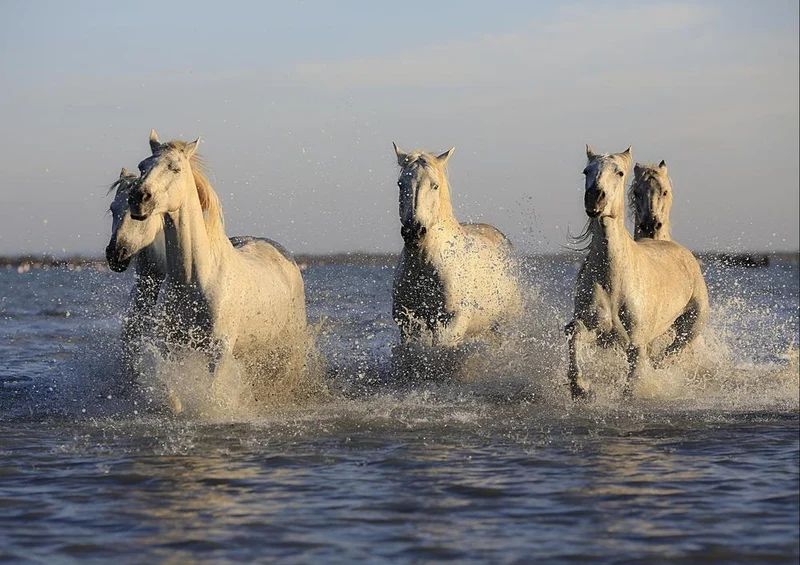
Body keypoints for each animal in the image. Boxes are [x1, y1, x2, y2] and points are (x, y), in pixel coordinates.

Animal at [125, 130, 307, 383]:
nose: (138, 198)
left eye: (175, 168)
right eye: (142, 166)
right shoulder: (172, 347)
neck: (193, 279)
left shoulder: (218, 352)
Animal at [391, 143, 521, 350]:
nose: (414, 232)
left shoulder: (450, 323)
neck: (424, 265)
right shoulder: (408, 324)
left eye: (434, 185)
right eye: (400, 184)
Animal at [565, 145, 708, 399]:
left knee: (670, 353)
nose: (594, 198)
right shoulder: (598, 330)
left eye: (619, 172)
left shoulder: (635, 343)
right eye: (586, 171)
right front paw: (580, 387)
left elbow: (634, 380)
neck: (613, 278)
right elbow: (575, 332)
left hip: (690, 327)